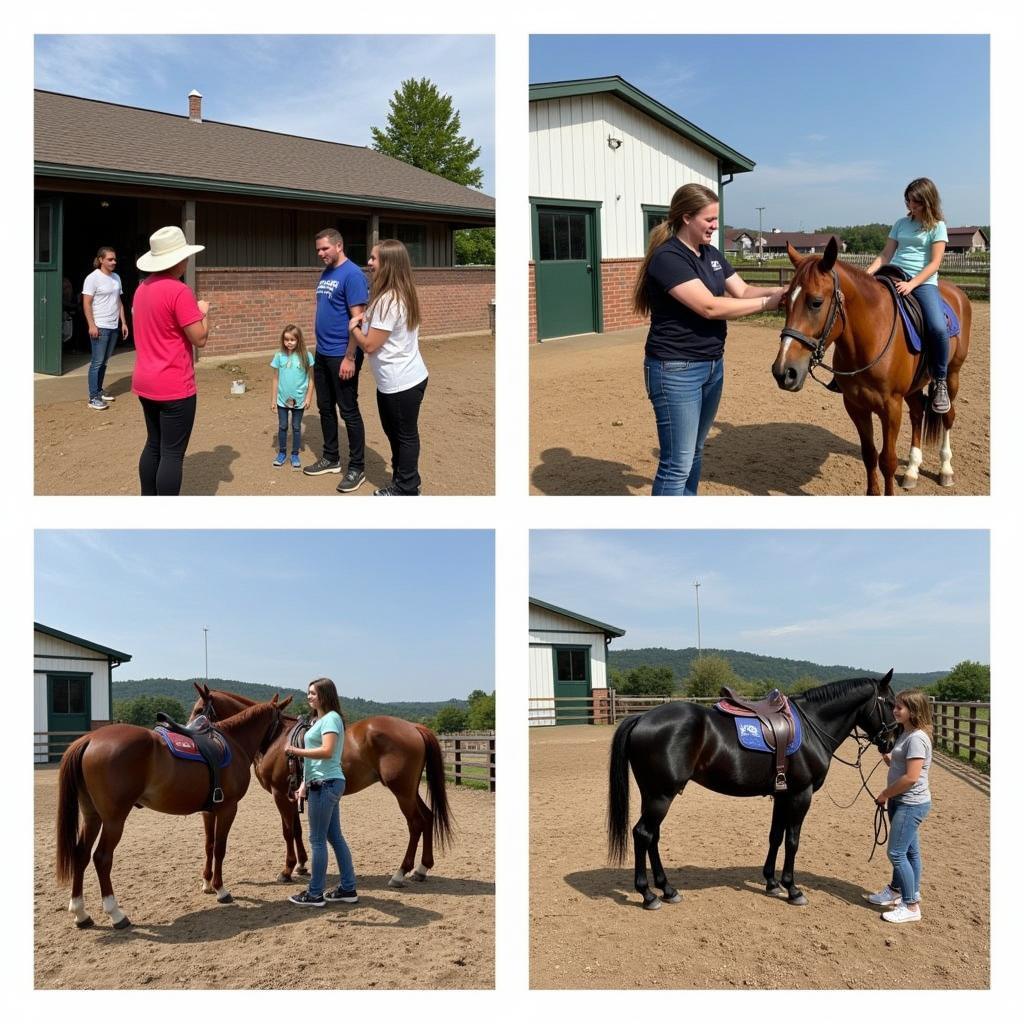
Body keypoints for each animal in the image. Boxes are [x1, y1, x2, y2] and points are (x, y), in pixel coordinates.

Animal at [56, 696, 288, 929]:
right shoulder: (228, 808)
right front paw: (221, 890)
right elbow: (220, 848)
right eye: (280, 721)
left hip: (92, 817)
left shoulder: (210, 811)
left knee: (81, 854)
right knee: (102, 858)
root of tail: (90, 739)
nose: (283, 751)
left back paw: (81, 913)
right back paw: (116, 914)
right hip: (114, 820)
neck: (233, 742)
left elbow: (209, 845)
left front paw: (207, 884)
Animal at [190, 679, 454, 888]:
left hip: (401, 791)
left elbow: (287, 831)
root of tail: (414, 727)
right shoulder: (291, 793)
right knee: (427, 817)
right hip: (409, 790)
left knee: (416, 823)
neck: (275, 736)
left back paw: (400, 873)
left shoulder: (278, 793)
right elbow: (296, 830)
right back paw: (421, 869)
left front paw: (287, 870)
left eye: (200, 709)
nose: (189, 730)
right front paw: (301, 866)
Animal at [606, 675, 897, 909]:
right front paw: (793, 889)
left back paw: (667, 889)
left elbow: (775, 837)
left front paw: (771, 883)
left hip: (653, 795)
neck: (813, 725)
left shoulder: (783, 795)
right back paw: (648, 895)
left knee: (652, 837)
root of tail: (641, 717)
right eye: (891, 704)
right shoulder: (800, 795)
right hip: (661, 796)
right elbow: (792, 841)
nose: (891, 742)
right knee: (643, 834)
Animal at [770, 239, 970, 495]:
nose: (784, 372)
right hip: (914, 387)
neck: (871, 337)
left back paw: (946, 470)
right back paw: (912, 470)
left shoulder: (891, 408)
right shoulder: (856, 406)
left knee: (948, 416)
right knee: (918, 414)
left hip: (952, 375)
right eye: (785, 301)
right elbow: (869, 455)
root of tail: (957, 292)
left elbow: (888, 460)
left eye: (816, 302)